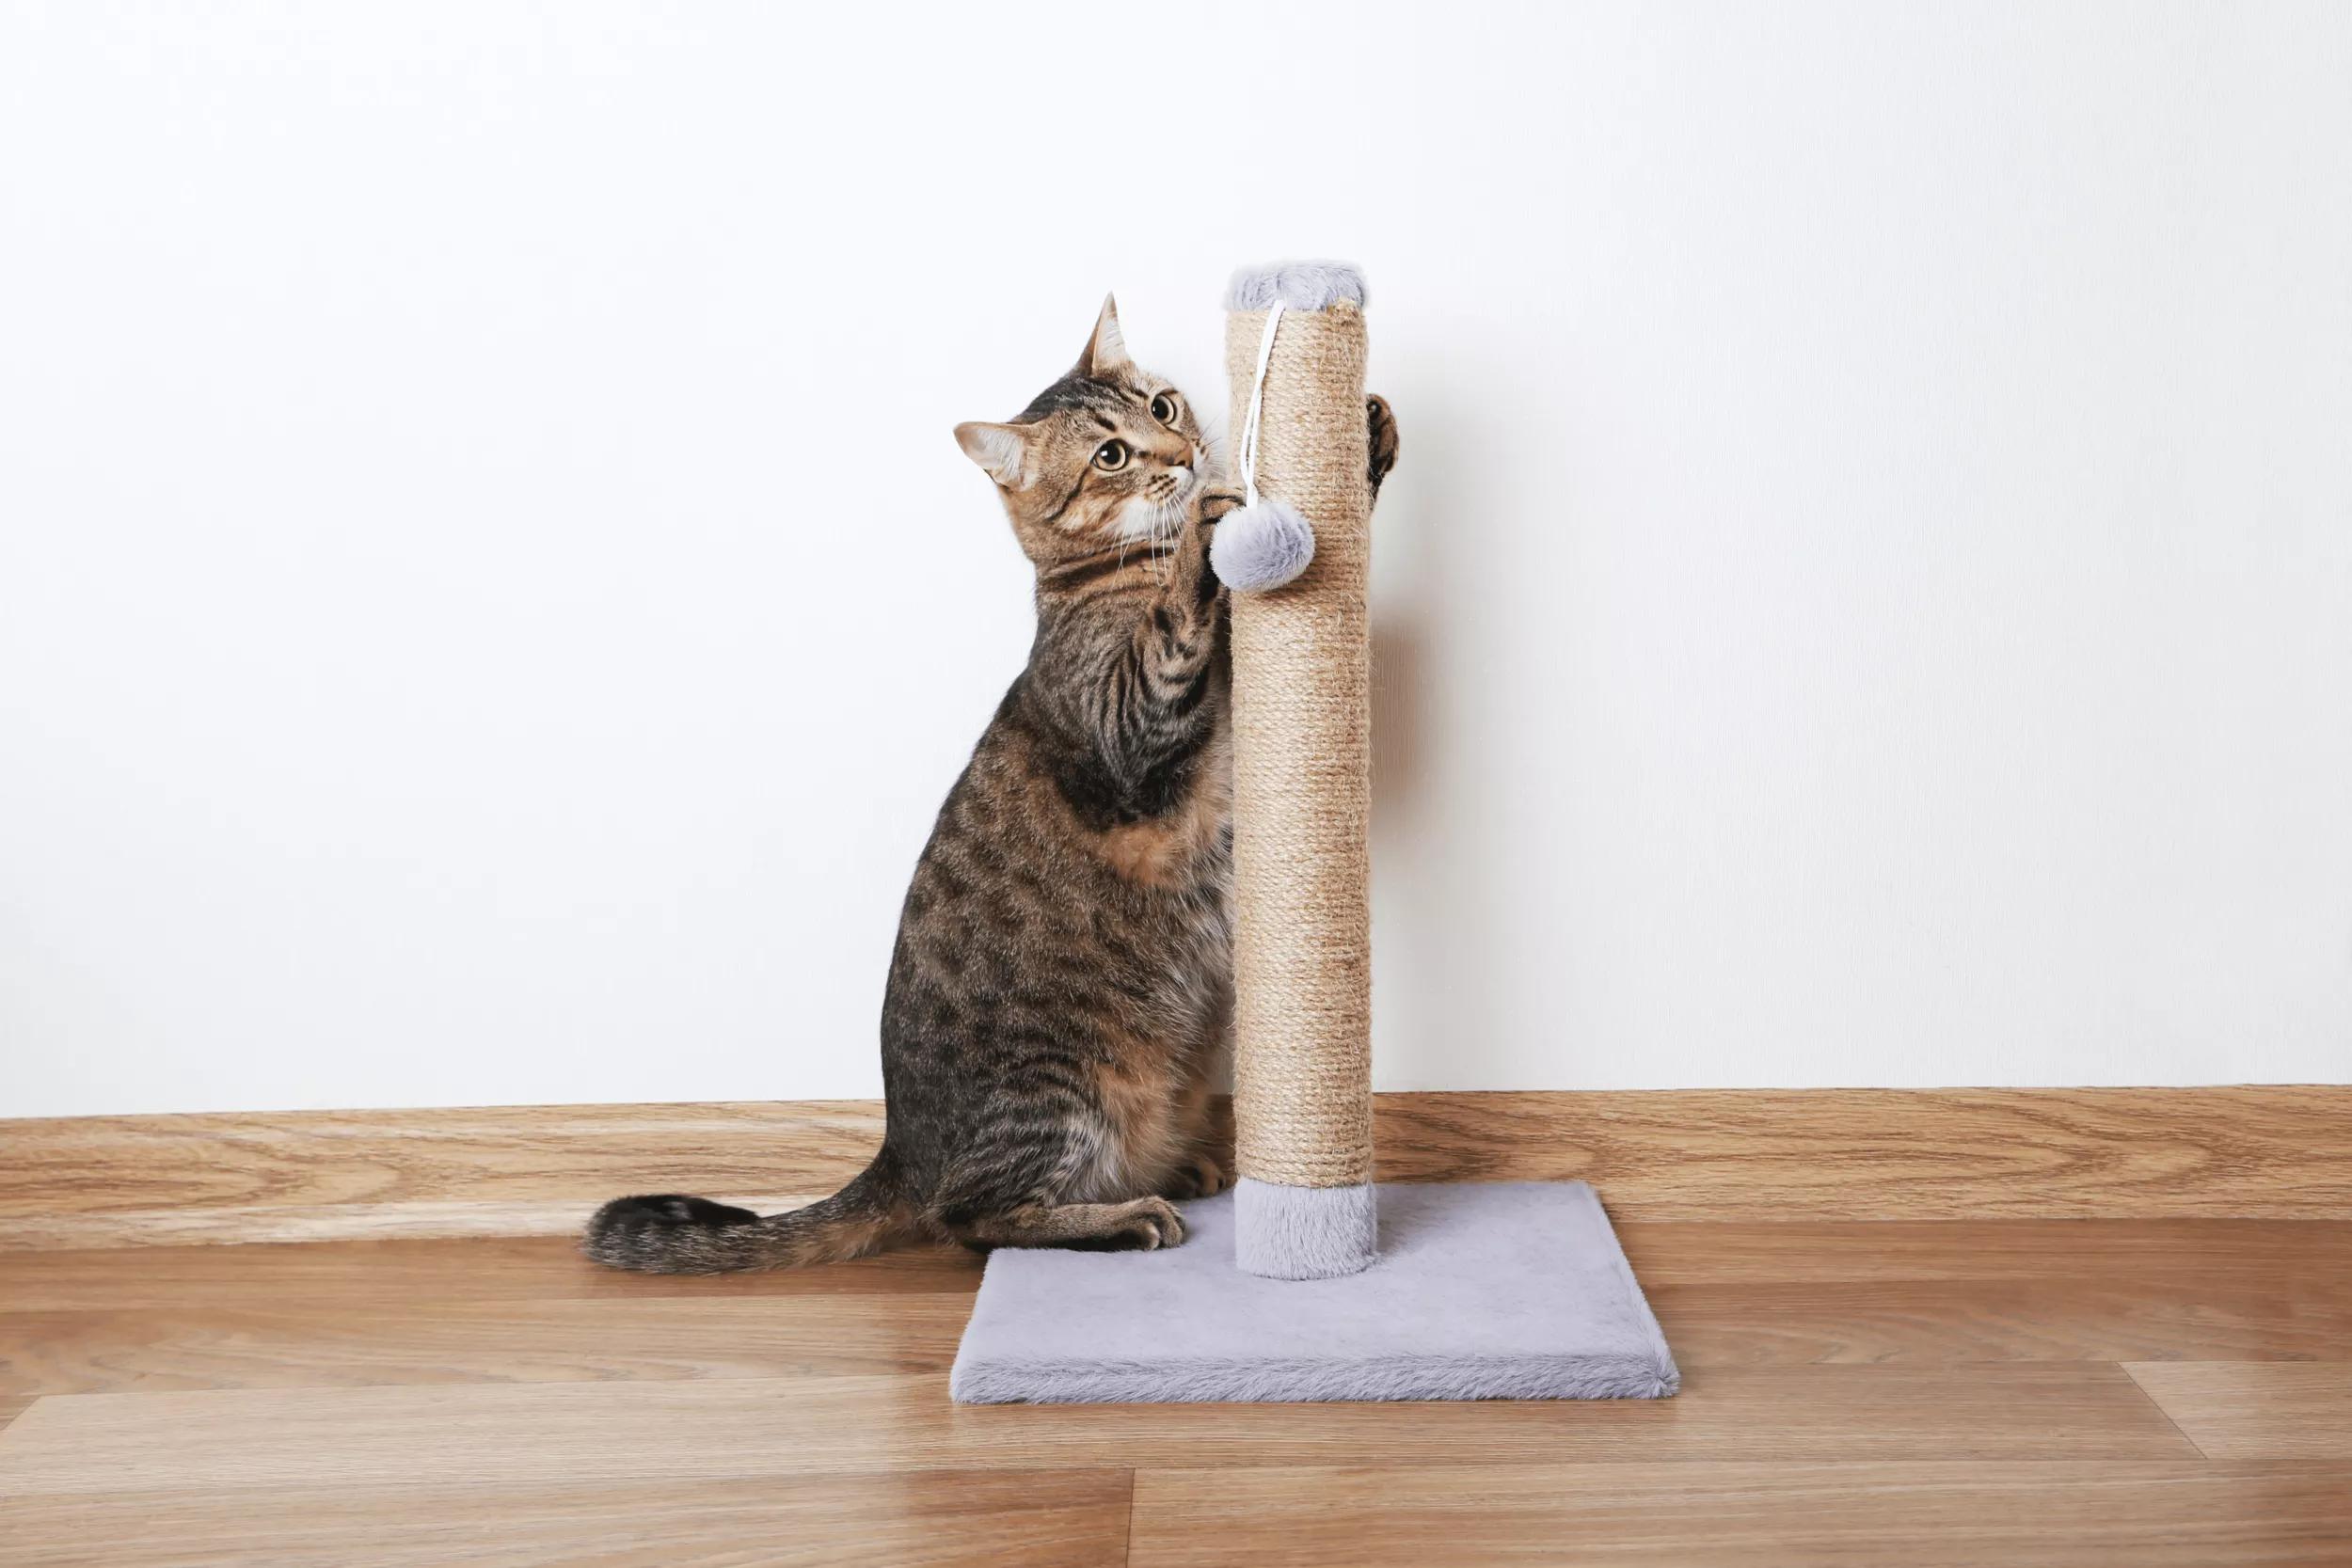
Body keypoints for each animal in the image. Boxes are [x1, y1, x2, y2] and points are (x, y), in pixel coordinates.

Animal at [588, 297, 1392, 1278]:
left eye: (1162, 407)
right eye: (1111, 455)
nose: (1180, 451)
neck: (1099, 573)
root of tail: (899, 1148)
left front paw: (1365, 436)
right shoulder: (1130, 729)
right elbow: (1176, 622)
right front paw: (1198, 544)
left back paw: (1181, 1169)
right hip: (1062, 1087)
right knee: (972, 1218)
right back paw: (1124, 1215)